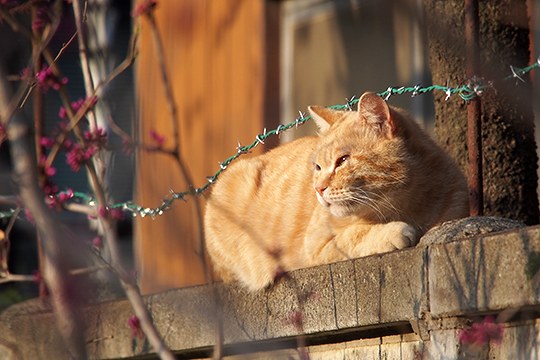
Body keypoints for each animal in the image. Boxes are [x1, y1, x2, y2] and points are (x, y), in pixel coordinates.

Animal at [205, 92, 466, 290]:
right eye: (318, 167)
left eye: (342, 161)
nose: (318, 189)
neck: (408, 206)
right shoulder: (317, 247)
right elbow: (353, 236)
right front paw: (392, 232)